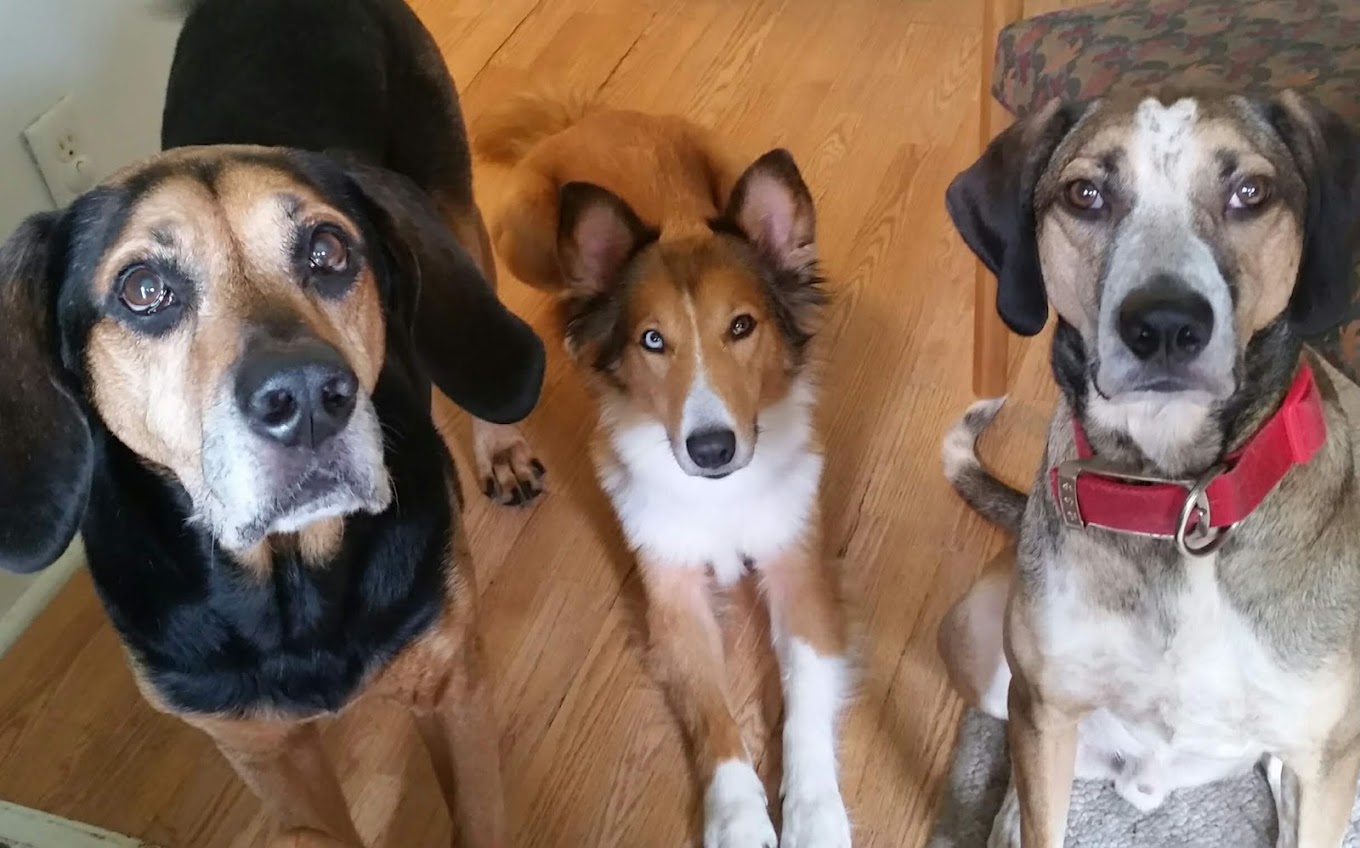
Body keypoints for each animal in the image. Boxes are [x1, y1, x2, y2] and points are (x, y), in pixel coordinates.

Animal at [0, 0, 549, 845]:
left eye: (329, 250)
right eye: (142, 289)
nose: (309, 398)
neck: (289, 582)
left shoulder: (452, 685)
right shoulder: (265, 754)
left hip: (450, 208)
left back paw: (501, 447)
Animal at [473, 91, 854, 848]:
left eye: (742, 326)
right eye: (653, 340)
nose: (711, 449)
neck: (722, 495)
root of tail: (586, 117)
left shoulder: (799, 571)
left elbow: (804, 694)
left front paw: (814, 812)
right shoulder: (672, 593)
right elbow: (711, 708)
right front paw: (737, 817)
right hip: (521, 241)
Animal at [936, 88, 1360, 847]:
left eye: (1250, 192)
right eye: (1085, 195)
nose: (1164, 325)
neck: (1181, 502)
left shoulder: (1326, 764)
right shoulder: (1044, 705)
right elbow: (1040, 796)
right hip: (982, 651)